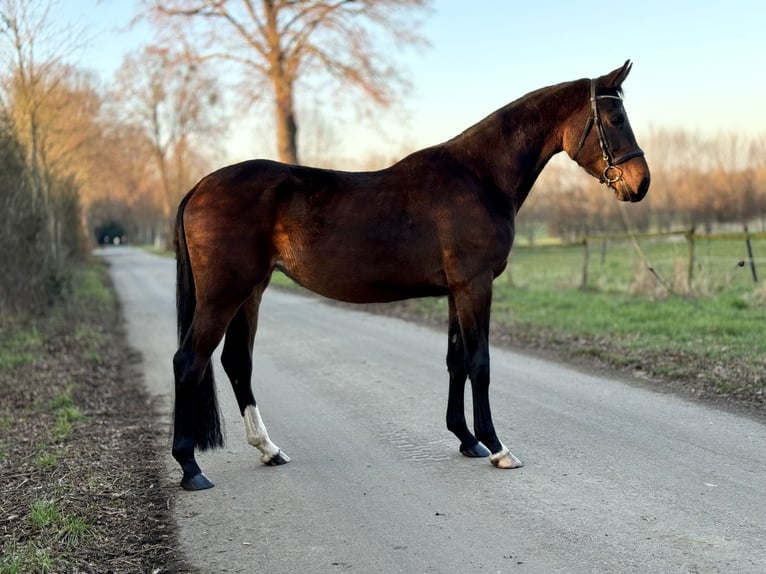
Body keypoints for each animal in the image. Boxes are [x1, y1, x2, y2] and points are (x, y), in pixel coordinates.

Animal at [171, 60, 652, 490]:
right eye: (615, 118)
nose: (641, 182)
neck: (479, 176)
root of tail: (200, 186)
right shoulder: (476, 285)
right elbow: (480, 363)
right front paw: (497, 448)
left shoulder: (456, 291)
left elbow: (456, 360)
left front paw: (466, 440)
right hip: (223, 295)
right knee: (188, 362)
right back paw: (191, 468)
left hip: (251, 291)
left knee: (237, 363)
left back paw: (268, 450)